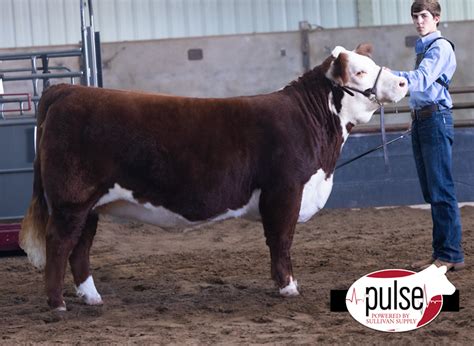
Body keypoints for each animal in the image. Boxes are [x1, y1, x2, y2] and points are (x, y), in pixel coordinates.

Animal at [17, 44, 404, 310]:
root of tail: (67, 90)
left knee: (80, 248)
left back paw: (92, 298)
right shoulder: (284, 190)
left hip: (92, 205)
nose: (402, 81)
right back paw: (57, 304)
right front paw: (288, 287)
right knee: (59, 243)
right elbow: (281, 241)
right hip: (71, 200)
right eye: (359, 72)